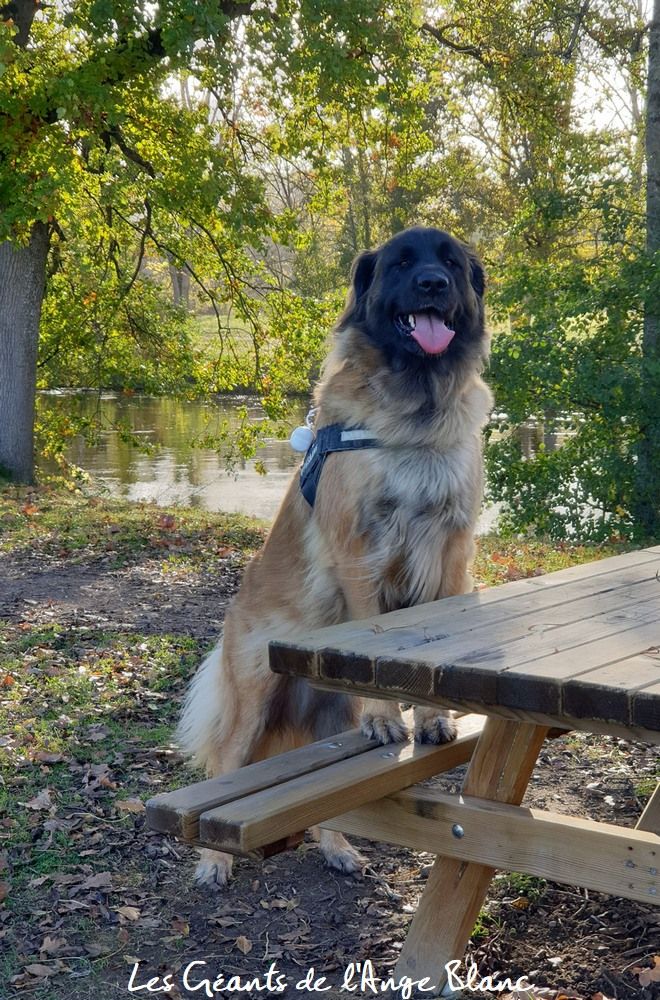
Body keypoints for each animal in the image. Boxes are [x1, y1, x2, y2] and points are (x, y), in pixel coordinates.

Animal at [177, 225, 493, 887]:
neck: (414, 410)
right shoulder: (360, 550)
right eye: (402, 263)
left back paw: (338, 846)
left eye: (451, 263)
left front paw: (431, 718)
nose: (433, 284)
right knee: (226, 766)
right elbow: (375, 627)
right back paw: (215, 859)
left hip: (331, 711)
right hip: (253, 696)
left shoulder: (453, 550)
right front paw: (390, 716)